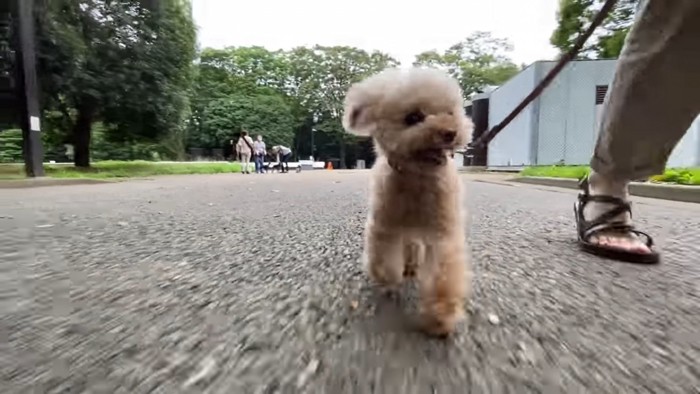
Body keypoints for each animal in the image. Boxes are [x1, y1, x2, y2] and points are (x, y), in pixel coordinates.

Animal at [342, 66, 474, 338]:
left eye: (450, 112)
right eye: (413, 117)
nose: (450, 132)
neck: (417, 178)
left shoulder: (442, 233)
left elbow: (444, 274)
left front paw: (440, 316)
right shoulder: (385, 227)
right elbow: (384, 262)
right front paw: (389, 281)